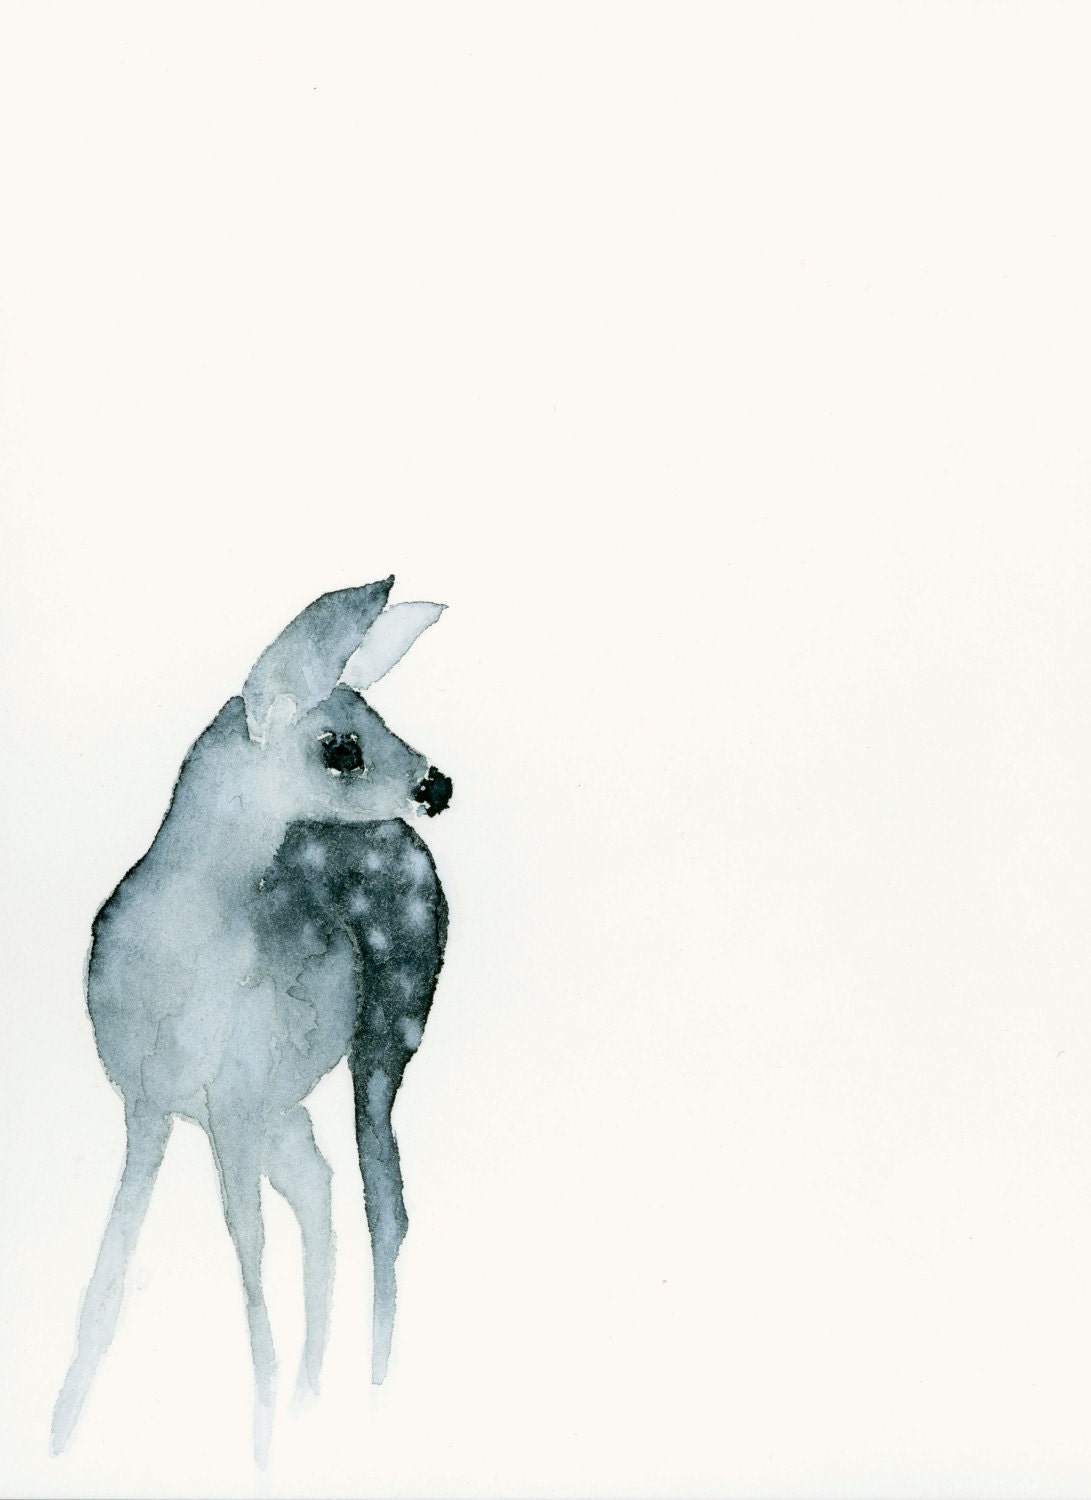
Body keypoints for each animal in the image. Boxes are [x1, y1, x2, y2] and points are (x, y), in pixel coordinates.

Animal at [52, 577, 452, 1464]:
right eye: (342, 745)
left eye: (378, 716)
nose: (436, 785)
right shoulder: (153, 1102)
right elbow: (110, 1266)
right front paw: (59, 1431)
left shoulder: (230, 1095)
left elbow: (246, 1249)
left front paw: (259, 1444)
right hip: (279, 1101)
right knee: (323, 1187)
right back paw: (314, 1396)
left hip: (389, 1026)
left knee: (384, 1202)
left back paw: (366, 1394)